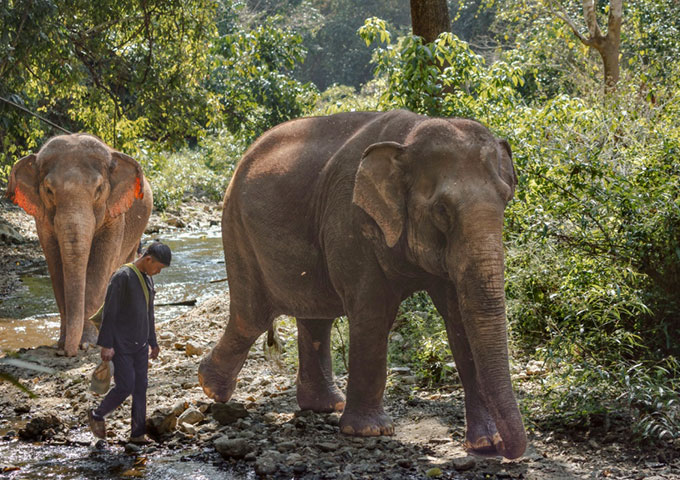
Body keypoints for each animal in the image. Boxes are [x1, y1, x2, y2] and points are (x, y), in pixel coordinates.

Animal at [6, 133, 152, 357]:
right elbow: (57, 269)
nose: (67, 353)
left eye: (99, 189)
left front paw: (87, 344)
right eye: (49, 190)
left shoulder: (115, 216)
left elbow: (98, 272)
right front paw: (62, 343)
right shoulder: (42, 222)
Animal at [198, 110, 527, 459]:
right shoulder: (352, 219)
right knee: (252, 317)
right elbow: (373, 312)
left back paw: (323, 405)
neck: (409, 138)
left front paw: (486, 444)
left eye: (506, 199)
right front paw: (369, 431)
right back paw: (210, 387)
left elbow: (459, 320)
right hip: (236, 226)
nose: (508, 449)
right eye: (441, 209)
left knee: (315, 315)